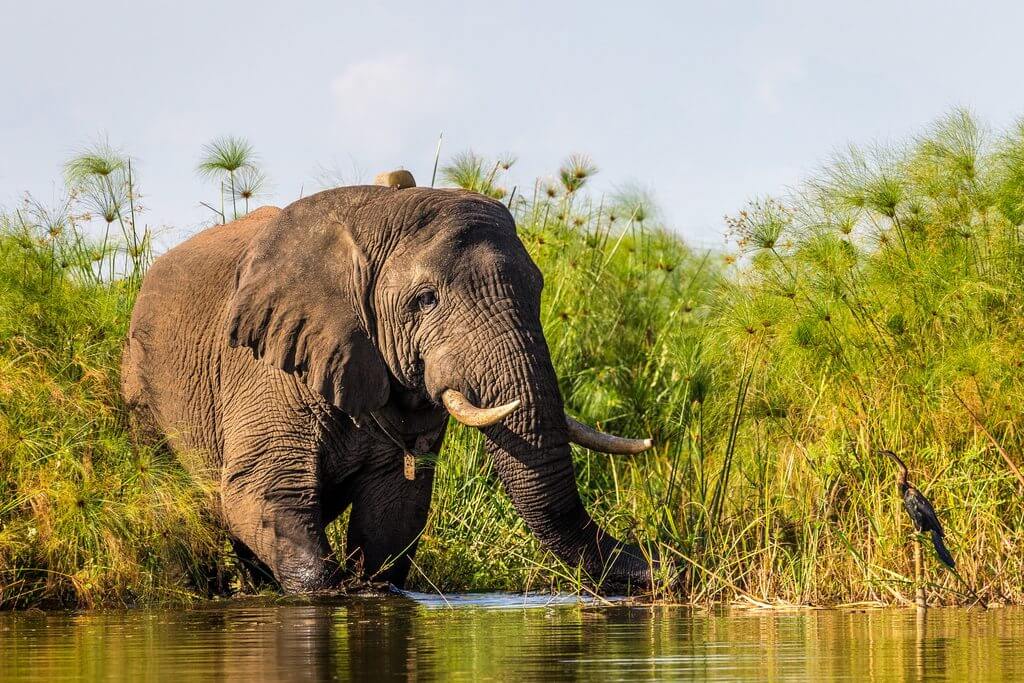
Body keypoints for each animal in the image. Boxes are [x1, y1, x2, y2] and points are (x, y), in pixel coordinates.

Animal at [123, 172, 655, 593]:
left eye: (538, 289)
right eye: (425, 299)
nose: (659, 566)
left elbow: (394, 511)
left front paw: (370, 590)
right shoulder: (265, 368)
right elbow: (261, 494)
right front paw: (331, 591)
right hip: (140, 387)